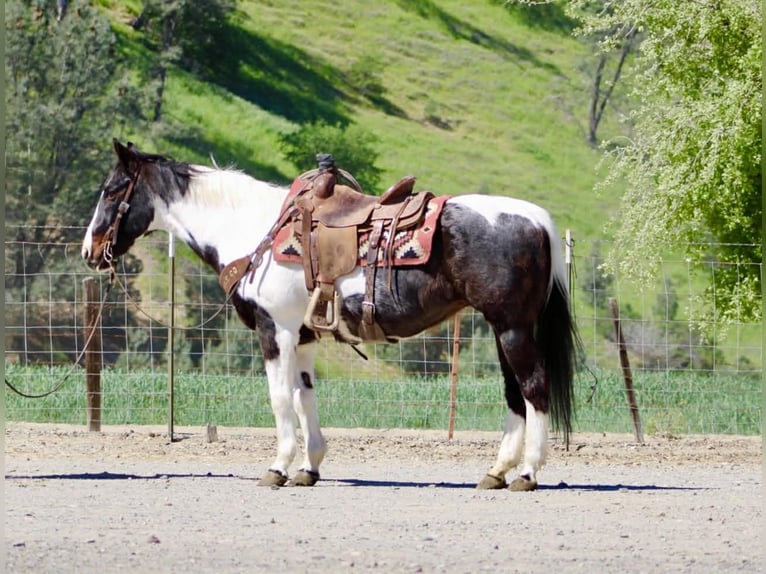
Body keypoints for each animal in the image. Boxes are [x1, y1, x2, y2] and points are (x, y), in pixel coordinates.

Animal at [82, 139, 579, 491]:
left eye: (111, 191)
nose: (89, 250)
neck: (254, 230)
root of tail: (537, 220)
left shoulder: (275, 330)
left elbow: (280, 399)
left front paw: (278, 467)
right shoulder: (302, 337)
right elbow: (305, 398)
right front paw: (309, 466)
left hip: (512, 329)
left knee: (534, 388)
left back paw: (527, 474)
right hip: (503, 330)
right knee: (515, 393)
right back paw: (496, 471)